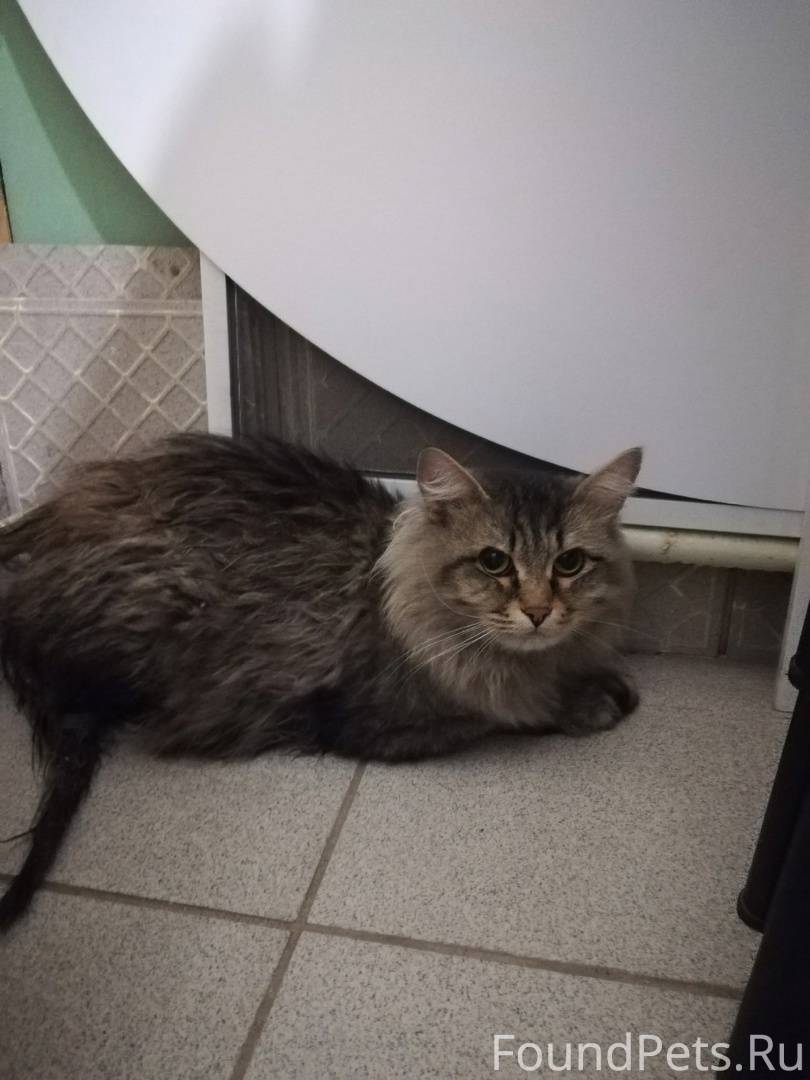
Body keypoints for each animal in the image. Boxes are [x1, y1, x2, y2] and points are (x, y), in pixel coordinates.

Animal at [0, 434, 641, 930]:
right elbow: (503, 714)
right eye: (493, 562)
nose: (538, 612)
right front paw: (588, 703)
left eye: (569, 564)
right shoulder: (367, 720)